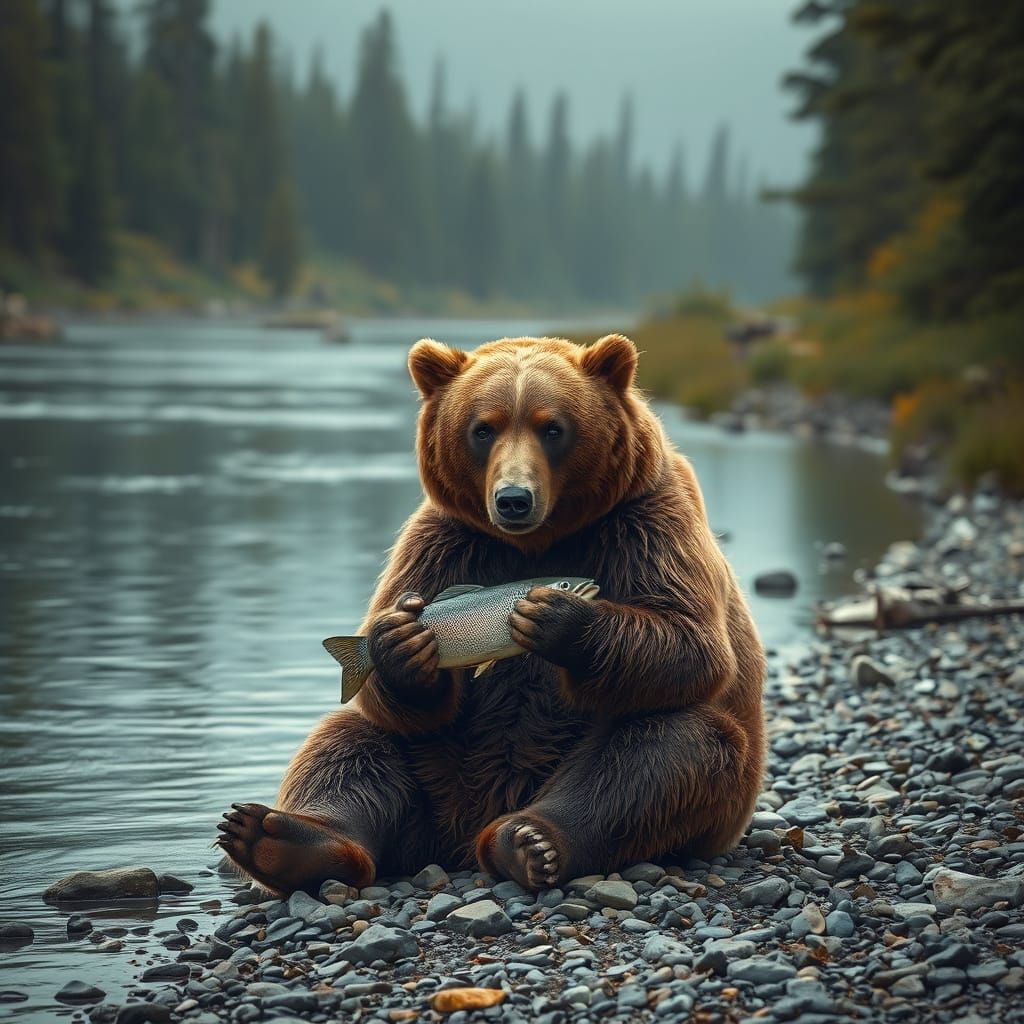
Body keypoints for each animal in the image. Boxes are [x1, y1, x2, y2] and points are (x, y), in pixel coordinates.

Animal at [216, 333, 766, 894]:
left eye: (553, 427)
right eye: (483, 428)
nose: (513, 499)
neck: (538, 541)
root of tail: (465, 836)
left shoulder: (646, 523)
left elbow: (689, 641)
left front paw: (561, 620)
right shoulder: (443, 543)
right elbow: (393, 694)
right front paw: (401, 645)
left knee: (663, 747)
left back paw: (529, 842)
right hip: (439, 770)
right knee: (353, 745)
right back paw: (280, 837)